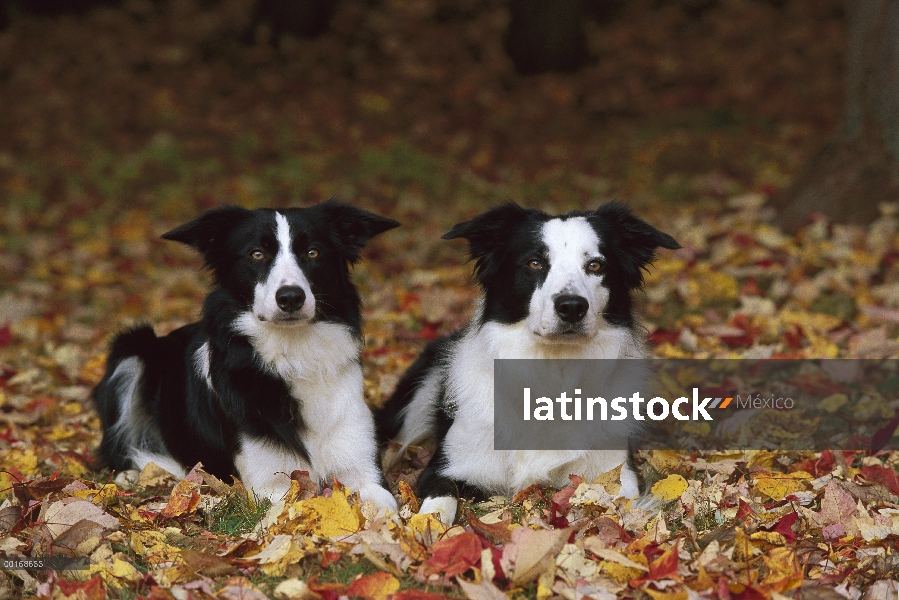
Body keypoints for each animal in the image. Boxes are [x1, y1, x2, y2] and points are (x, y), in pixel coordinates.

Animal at [94, 200, 398, 510]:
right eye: (257, 254)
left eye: (313, 252)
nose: (291, 297)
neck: (294, 354)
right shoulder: (268, 487)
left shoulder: (365, 473)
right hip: (132, 347)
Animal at [376, 203, 680, 524]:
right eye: (535, 263)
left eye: (596, 265)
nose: (572, 307)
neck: (552, 368)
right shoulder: (447, 467)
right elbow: (441, 499)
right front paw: (427, 527)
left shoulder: (617, 473)